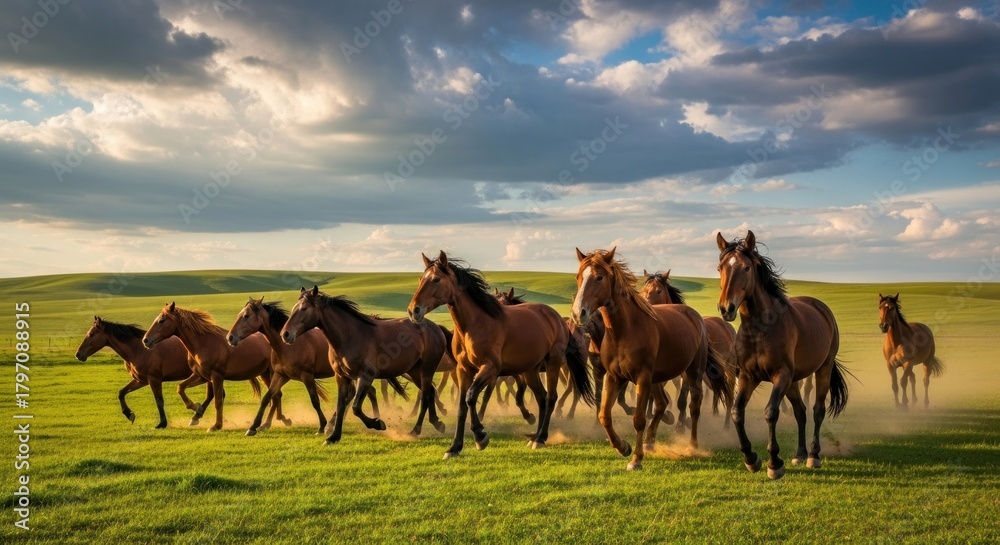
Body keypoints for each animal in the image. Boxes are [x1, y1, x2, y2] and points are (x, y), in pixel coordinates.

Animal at [142, 302, 281, 431]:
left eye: (161, 320)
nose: (145, 340)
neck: (203, 343)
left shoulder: (217, 376)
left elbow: (218, 401)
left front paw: (216, 425)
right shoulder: (201, 376)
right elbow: (181, 387)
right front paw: (196, 409)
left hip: (272, 374)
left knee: (275, 396)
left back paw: (268, 423)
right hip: (265, 374)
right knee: (276, 396)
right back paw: (270, 423)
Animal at [280, 286, 447, 444]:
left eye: (304, 308)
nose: (285, 334)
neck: (350, 336)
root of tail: (435, 327)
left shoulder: (365, 377)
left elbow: (355, 407)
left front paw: (378, 423)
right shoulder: (342, 377)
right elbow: (341, 406)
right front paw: (333, 437)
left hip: (426, 370)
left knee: (425, 395)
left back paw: (415, 430)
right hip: (415, 371)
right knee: (430, 392)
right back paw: (437, 423)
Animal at [408, 251, 594, 458]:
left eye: (436, 279)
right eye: (420, 279)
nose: (414, 310)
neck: (475, 324)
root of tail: (558, 318)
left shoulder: (490, 368)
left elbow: (472, 397)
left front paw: (480, 436)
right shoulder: (464, 370)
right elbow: (462, 406)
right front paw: (455, 447)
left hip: (553, 365)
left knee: (551, 398)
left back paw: (541, 438)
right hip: (531, 371)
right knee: (542, 398)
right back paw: (535, 436)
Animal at [641, 269, 738, 428]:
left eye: (658, 291)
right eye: (643, 291)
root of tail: (727, 326)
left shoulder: (686, 373)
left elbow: (681, 399)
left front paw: (680, 422)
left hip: (729, 368)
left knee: (728, 396)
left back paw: (727, 426)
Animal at [716, 230, 850, 479]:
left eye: (746, 268)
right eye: (720, 267)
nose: (726, 308)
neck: (760, 329)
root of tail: (821, 308)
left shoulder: (781, 376)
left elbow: (771, 412)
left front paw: (774, 463)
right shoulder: (749, 377)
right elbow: (737, 412)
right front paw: (751, 458)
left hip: (822, 370)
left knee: (817, 411)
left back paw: (813, 456)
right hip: (793, 381)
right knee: (800, 412)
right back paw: (799, 454)